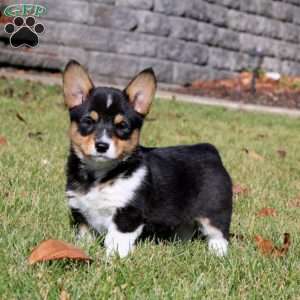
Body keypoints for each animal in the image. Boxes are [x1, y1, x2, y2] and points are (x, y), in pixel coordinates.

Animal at [63, 60, 232, 258]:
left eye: (122, 126)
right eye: (88, 121)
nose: (102, 146)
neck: (100, 174)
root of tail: (209, 150)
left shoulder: (127, 214)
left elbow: (115, 242)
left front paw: (111, 261)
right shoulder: (81, 212)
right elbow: (84, 236)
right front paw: (81, 251)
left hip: (214, 211)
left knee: (218, 234)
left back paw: (217, 253)